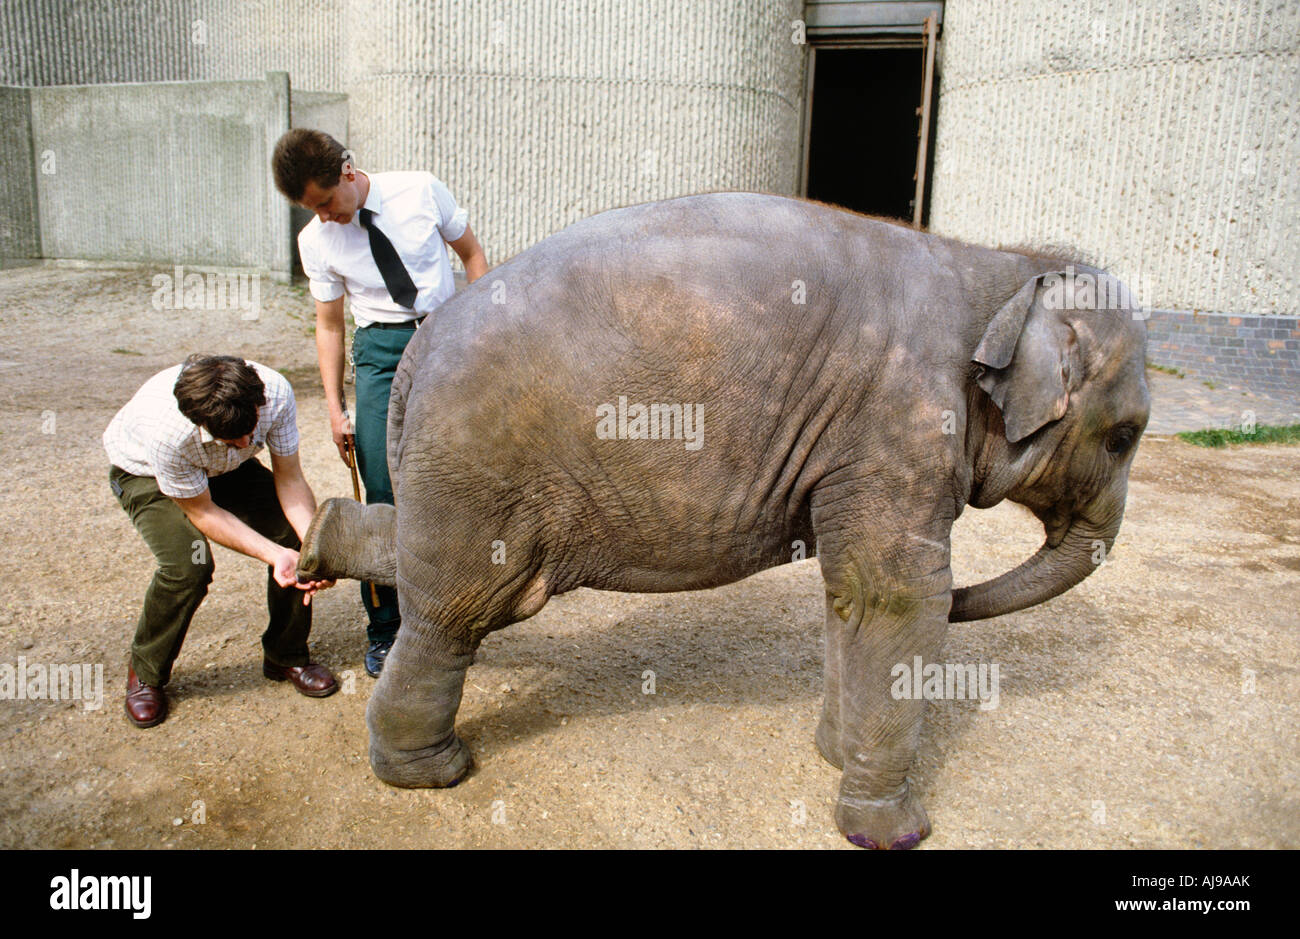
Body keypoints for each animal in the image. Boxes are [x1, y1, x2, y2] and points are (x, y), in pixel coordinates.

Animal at [298, 192, 1149, 849]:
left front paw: (833, 757)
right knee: (463, 604)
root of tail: (422, 344)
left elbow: (850, 592)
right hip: (482, 461)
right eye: (1124, 436)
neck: (1000, 267)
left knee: (439, 574)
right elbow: (898, 596)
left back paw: (315, 542)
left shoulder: (862, 448)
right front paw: (893, 832)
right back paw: (433, 774)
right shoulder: (903, 424)